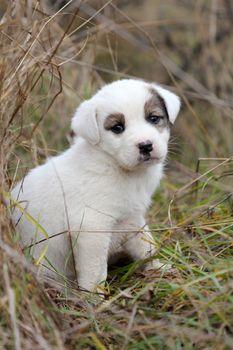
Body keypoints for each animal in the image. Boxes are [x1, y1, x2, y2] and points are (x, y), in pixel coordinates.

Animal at [9, 79, 180, 292]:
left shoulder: (131, 220)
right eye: (117, 127)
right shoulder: (91, 228)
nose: (146, 145)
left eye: (154, 118)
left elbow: (147, 246)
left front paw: (159, 269)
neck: (115, 165)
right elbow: (95, 271)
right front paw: (94, 296)